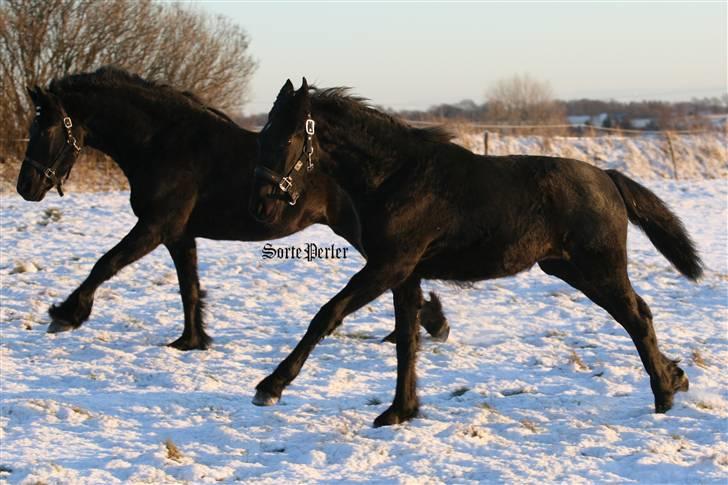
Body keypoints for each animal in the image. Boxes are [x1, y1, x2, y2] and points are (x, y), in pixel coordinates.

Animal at [14, 67, 450, 348]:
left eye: (46, 128)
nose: (25, 187)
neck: (162, 143)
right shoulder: (178, 234)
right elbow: (188, 287)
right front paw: (191, 340)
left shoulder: (155, 227)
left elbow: (105, 264)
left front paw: (65, 315)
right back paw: (421, 327)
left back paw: (426, 326)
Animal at [249, 79, 700, 428]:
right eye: (263, 135)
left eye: (287, 137)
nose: (262, 206)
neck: (396, 178)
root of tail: (607, 177)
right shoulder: (405, 275)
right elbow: (407, 341)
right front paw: (400, 411)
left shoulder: (387, 267)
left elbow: (328, 314)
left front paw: (270, 387)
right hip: (572, 270)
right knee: (639, 314)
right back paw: (675, 377)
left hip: (599, 269)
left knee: (637, 317)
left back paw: (665, 392)